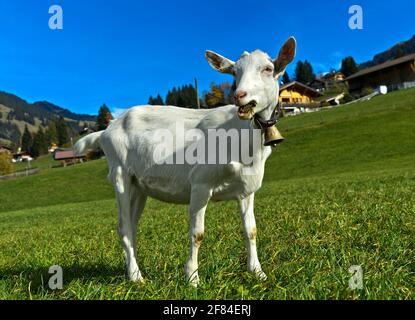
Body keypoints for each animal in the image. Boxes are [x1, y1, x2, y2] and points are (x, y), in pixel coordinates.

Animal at [75, 37, 296, 284]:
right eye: (234, 73)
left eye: (267, 69)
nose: (240, 95)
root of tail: (107, 130)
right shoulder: (201, 184)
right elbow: (197, 234)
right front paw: (192, 277)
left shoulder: (247, 190)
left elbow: (251, 230)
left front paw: (258, 272)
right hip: (119, 174)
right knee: (123, 227)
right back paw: (136, 277)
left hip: (138, 185)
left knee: (132, 226)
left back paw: (133, 271)